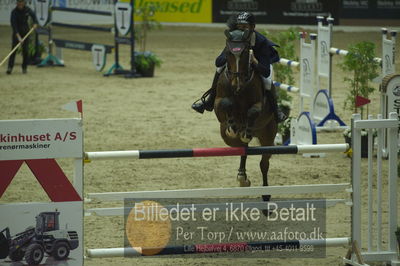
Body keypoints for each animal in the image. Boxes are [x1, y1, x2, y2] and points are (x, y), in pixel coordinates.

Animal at [214, 29, 276, 200]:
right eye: (228, 53)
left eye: (245, 53)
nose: (237, 84)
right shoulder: (217, 103)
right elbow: (225, 103)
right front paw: (233, 126)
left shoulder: (259, 105)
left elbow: (252, 112)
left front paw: (245, 131)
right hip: (228, 139)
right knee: (242, 149)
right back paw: (242, 177)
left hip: (268, 136)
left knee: (264, 163)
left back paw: (266, 194)